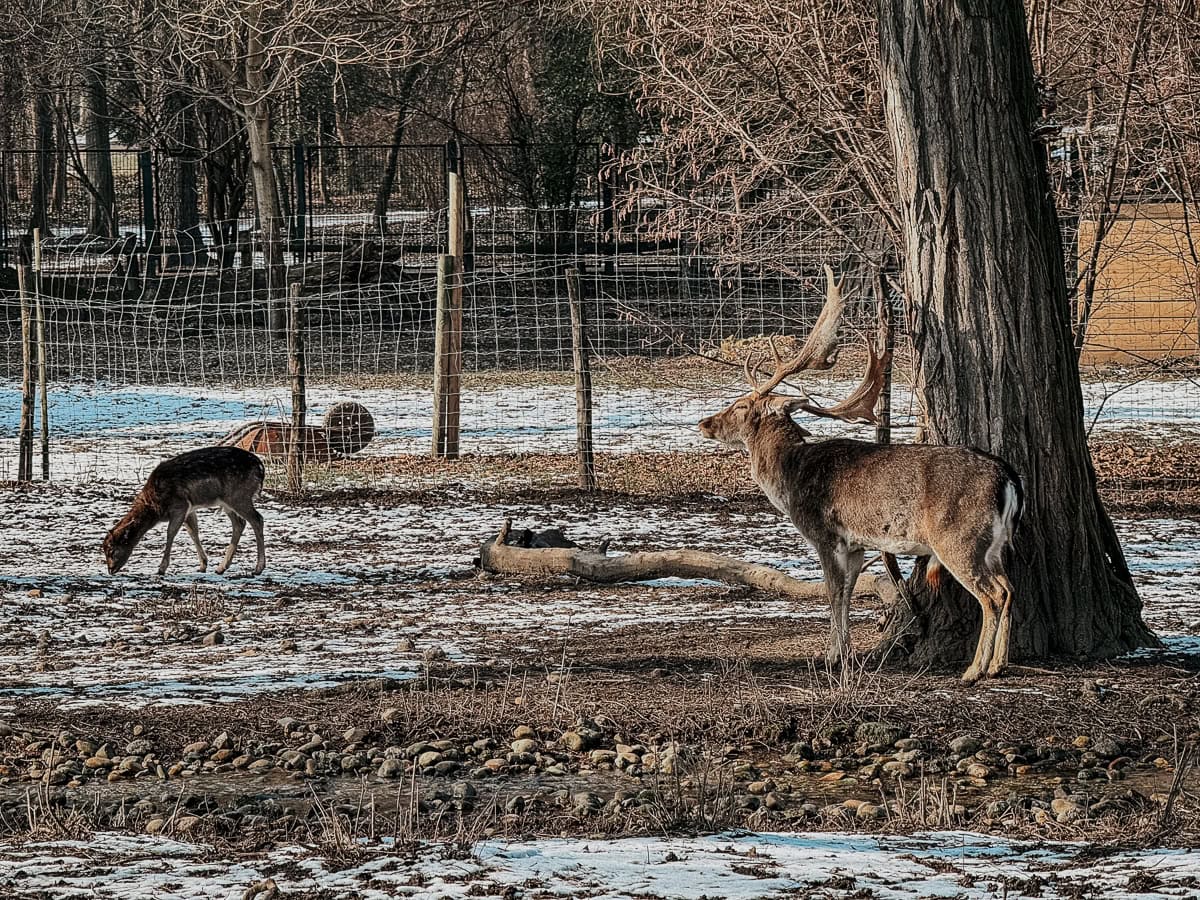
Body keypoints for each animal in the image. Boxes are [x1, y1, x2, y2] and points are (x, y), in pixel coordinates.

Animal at [103, 446, 267, 577]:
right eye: (104, 550)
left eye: (112, 550)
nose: (110, 570)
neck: (156, 509)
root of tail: (261, 468)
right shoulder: (189, 509)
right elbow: (193, 531)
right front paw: (202, 565)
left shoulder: (179, 505)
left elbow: (171, 533)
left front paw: (161, 569)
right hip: (228, 502)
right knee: (240, 523)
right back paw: (221, 568)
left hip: (238, 496)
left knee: (257, 519)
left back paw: (258, 568)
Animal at [698, 267, 1023, 682]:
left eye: (739, 406)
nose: (704, 423)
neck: (791, 477)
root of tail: (1008, 478)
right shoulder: (856, 544)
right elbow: (848, 593)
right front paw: (842, 652)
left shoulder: (826, 534)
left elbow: (833, 592)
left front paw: (833, 658)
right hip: (995, 543)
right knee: (1010, 588)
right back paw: (998, 664)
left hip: (959, 538)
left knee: (992, 594)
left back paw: (975, 669)